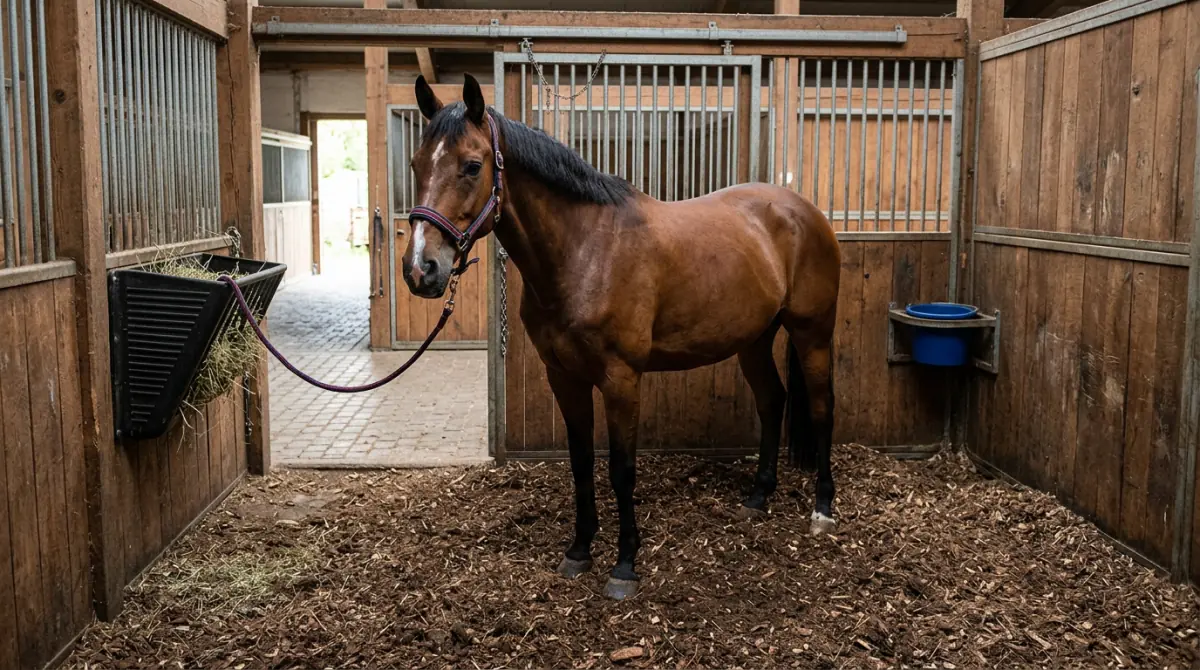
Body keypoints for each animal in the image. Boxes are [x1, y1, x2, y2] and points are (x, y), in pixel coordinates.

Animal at [403, 74, 841, 600]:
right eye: (417, 164)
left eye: (471, 165)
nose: (421, 269)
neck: (586, 251)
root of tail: (803, 210)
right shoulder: (564, 377)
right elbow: (580, 463)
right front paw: (579, 551)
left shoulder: (622, 379)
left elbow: (621, 469)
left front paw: (625, 564)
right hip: (754, 339)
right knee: (772, 400)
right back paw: (758, 497)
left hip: (812, 332)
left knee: (821, 407)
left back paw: (822, 510)